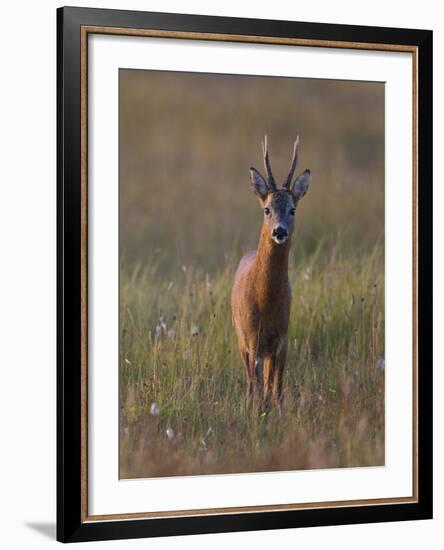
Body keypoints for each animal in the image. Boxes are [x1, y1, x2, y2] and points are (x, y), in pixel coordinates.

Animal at [231, 137, 310, 414]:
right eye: (267, 209)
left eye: (293, 209)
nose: (279, 231)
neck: (265, 300)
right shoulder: (251, 337)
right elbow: (256, 387)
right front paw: (254, 413)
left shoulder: (282, 337)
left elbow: (276, 388)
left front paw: (278, 413)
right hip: (241, 338)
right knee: (251, 383)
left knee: (267, 383)